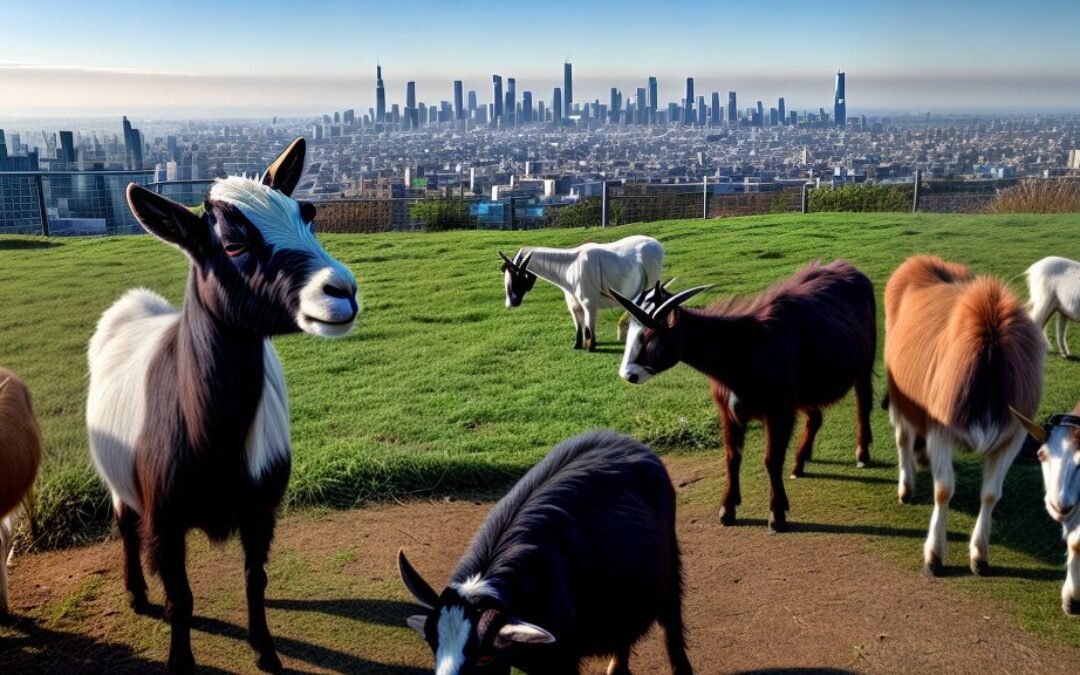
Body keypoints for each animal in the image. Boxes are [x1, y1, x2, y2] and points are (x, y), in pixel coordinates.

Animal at [86, 138, 358, 673]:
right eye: (232, 245)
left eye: (308, 215)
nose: (341, 291)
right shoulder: (166, 518)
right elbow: (181, 597)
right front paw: (181, 660)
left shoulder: (261, 508)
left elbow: (256, 578)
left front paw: (266, 651)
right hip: (119, 477)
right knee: (125, 523)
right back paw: (136, 593)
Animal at [499, 235, 664, 350]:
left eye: (517, 275)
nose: (512, 302)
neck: (569, 267)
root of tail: (658, 245)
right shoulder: (574, 304)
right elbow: (580, 325)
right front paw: (578, 345)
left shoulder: (589, 303)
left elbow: (589, 325)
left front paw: (591, 346)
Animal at [611, 260, 877, 532]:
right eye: (630, 332)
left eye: (649, 336)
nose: (628, 374)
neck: (745, 349)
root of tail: (850, 269)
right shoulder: (729, 413)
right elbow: (732, 457)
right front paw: (728, 509)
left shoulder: (778, 413)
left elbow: (771, 460)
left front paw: (776, 515)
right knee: (815, 417)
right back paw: (799, 463)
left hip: (864, 364)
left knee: (863, 402)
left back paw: (861, 455)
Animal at [884, 255, 1043, 576]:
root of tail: (919, 261)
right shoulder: (940, 431)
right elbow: (943, 490)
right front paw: (934, 555)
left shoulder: (1011, 438)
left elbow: (991, 494)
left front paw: (980, 555)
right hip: (898, 397)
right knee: (903, 438)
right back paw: (906, 486)